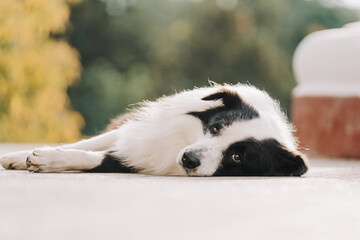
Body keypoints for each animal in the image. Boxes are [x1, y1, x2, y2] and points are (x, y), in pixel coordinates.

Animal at [1, 83, 308, 176]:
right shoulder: (134, 132)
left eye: (236, 157)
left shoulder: (132, 160)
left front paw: (47, 160)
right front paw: (19, 156)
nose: (189, 159)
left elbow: (95, 157)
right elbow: (82, 144)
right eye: (216, 127)